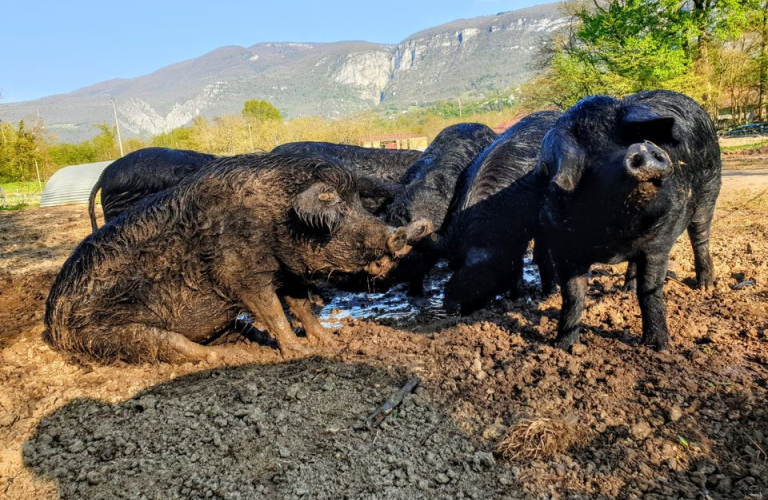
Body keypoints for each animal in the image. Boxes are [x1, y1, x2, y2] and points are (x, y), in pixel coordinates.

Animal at [46, 153, 432, 364]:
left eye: (358, 204)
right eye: (339, 209)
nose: (403, 234)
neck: (275, 218)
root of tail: (52, 321)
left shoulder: (286, 272)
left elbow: (301, 306)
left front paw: (329, 340)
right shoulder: (242, 275)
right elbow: (273, 311)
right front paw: (302, 351)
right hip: (112, 334)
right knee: (170, 344)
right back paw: (225, 357)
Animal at [438, 112, 564, 312]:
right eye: (459, 263)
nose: (450, 304)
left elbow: (542, 255)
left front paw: (548, 294)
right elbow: (517, 266)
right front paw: (516, 299)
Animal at [536, 90, 724, 350]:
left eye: (627, 137)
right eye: (590, 149)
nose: (642, 147)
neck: (616, 230)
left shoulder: (659, 241)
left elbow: (650, 291)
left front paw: (660, 347)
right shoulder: (562, 246)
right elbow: (573, 296)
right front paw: (562, 347)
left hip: (710, 191)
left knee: (701, 238)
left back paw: (705, 286)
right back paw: (626, 290)